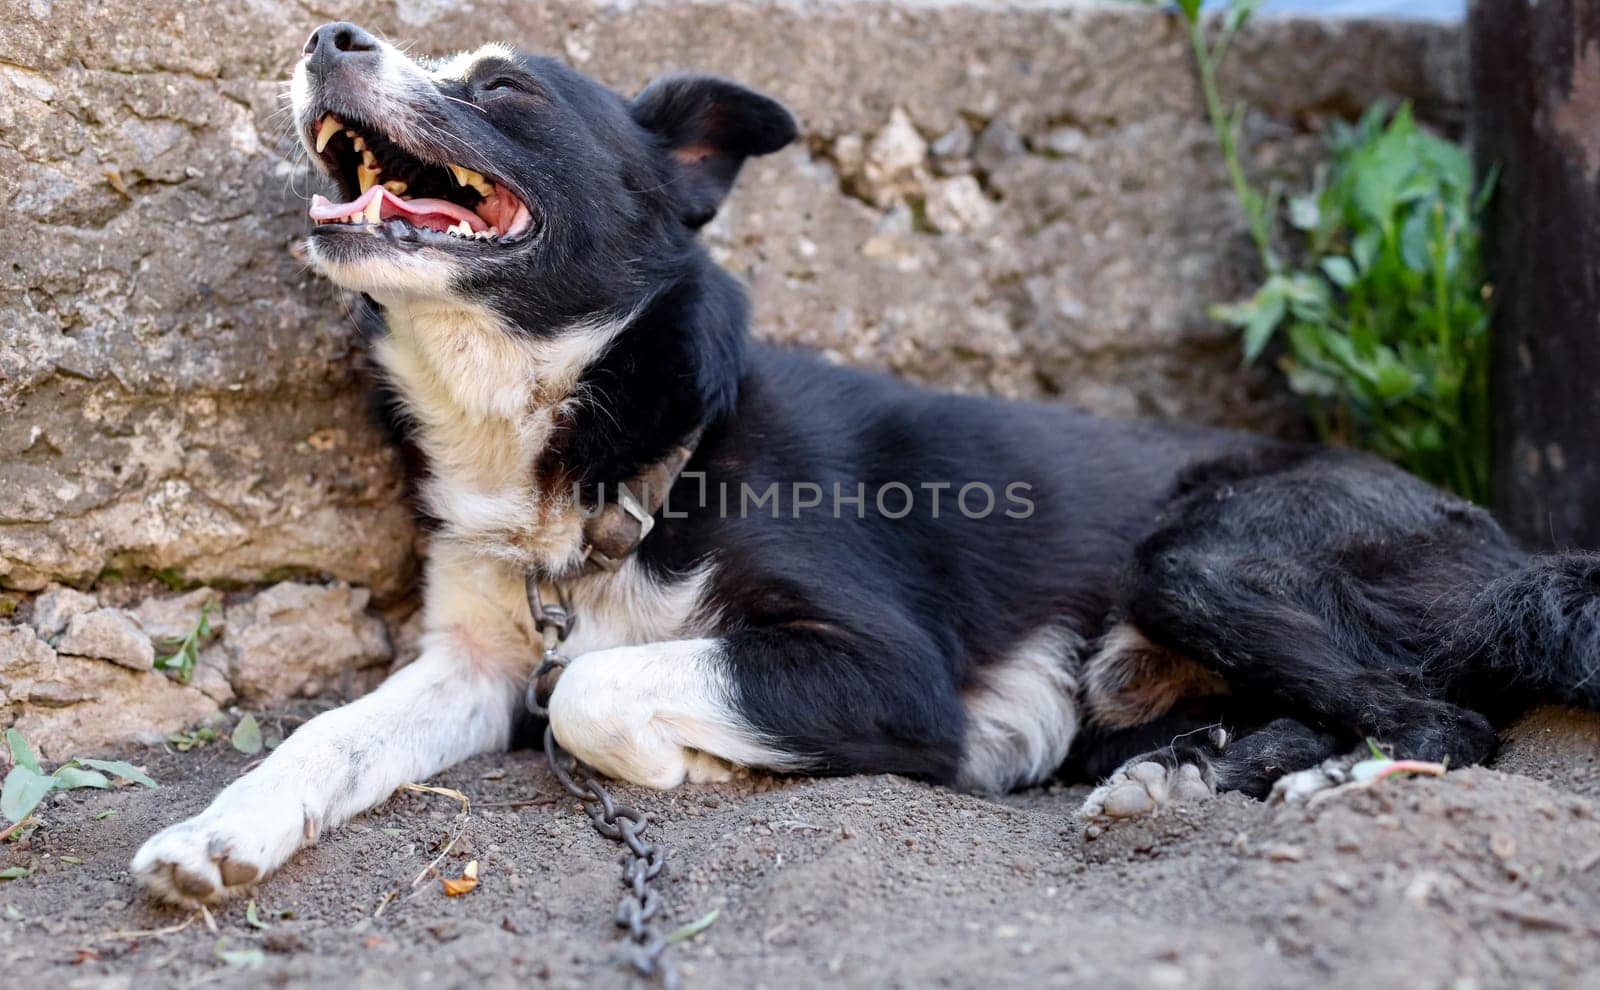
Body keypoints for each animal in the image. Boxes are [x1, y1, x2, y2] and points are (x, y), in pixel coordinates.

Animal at [131, 23, 1593, 908]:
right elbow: (335, 730)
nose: (328, 37)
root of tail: (1503, 547)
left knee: (1445, 719)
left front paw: (703, 768)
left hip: (1209, 550)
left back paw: (1333, 779)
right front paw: (220, 830)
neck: (610, 443)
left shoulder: (890, 671)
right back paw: (1190, 773)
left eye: (503, 90)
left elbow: (596, 687)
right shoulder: (475, 660)